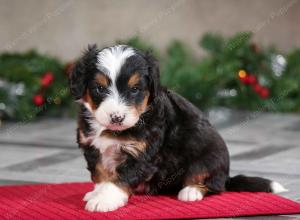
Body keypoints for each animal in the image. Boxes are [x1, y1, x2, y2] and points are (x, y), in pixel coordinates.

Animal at [69, 44, 288, 211]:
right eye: (99, 88)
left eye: (135, 89)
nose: (117, 117)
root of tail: (227, 176)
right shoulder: (93, 148)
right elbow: (101, 173)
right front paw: (98, 192)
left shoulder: (141, 154)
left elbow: (120, 178)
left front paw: (105, 200)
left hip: (209, 156)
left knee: (212, 184)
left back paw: (191, 191)